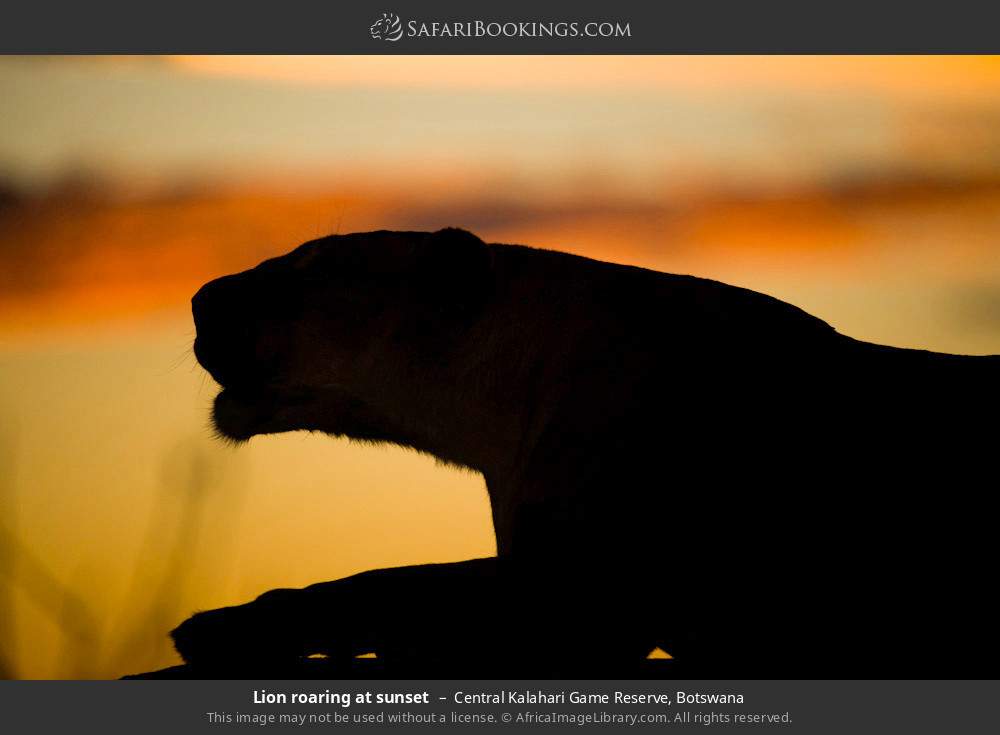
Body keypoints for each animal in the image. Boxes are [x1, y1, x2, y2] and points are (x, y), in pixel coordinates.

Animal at [172, 228, 998, 677]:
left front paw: (223, 625)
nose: (199, 297)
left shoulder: (591, 595)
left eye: (312, 266)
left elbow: (395, 581)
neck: (494, 417)